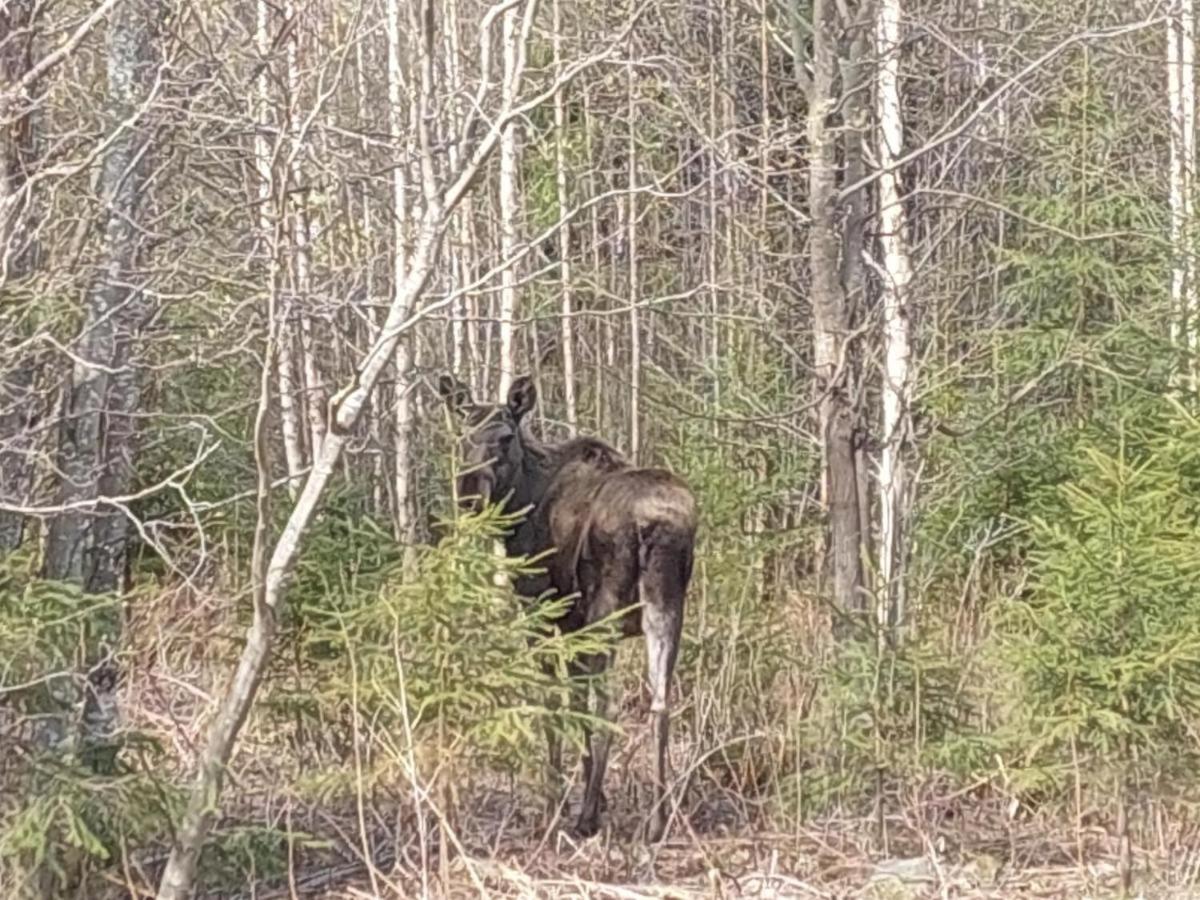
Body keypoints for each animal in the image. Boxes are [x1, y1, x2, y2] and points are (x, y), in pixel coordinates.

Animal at [437, 372, 697, 842]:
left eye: (505, 437)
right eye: (463, 435)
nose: (468, 495)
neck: (524, 500)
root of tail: (654, 524)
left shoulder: (540, 613)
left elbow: (551, 703)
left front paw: (555, 801)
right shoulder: (572, 625)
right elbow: (575, 703)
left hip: (605, 612)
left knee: (609, 705)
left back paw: (587, 817)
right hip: (667, 608)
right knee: (660, 701)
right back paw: (656, 819)